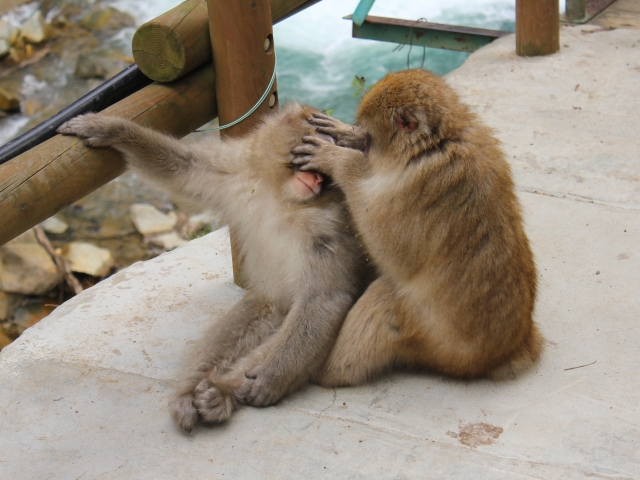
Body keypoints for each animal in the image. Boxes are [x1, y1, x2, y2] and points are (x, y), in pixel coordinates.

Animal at [58, 102, 376, 432]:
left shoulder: (330, 226)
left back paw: (225, 391)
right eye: (307, 157)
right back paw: (191, 392)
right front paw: (109, 129)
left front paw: (268, 379)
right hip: (268, 304)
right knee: (233, 329)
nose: (316, 181)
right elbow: (182, 169)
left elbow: (324, 298)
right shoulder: (233, 170)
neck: (282, 197)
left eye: (325, 174)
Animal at [292, 68, 544, 386]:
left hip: (432, 342)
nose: (362, 141)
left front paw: (337, 160)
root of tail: (512, 348)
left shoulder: (412, 188)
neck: (437, 142)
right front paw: (344, 133)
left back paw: (322, 372)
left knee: (384, 298)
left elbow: (389, 244)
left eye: (371, 142)